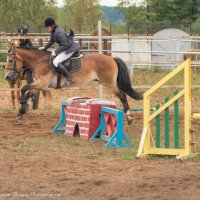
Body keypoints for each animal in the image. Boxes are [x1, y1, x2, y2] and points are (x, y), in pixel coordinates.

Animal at [5, 44, 143, 124]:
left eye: (11, 60)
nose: (7, 77)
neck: (39, 61)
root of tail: (111, 58)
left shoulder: (42, 84)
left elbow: (24, 88)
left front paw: (22, 106)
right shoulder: (39, 85)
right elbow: (28, 92)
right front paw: (21, 112)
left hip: (109, 83)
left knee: (122, 96)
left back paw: (129, 118)